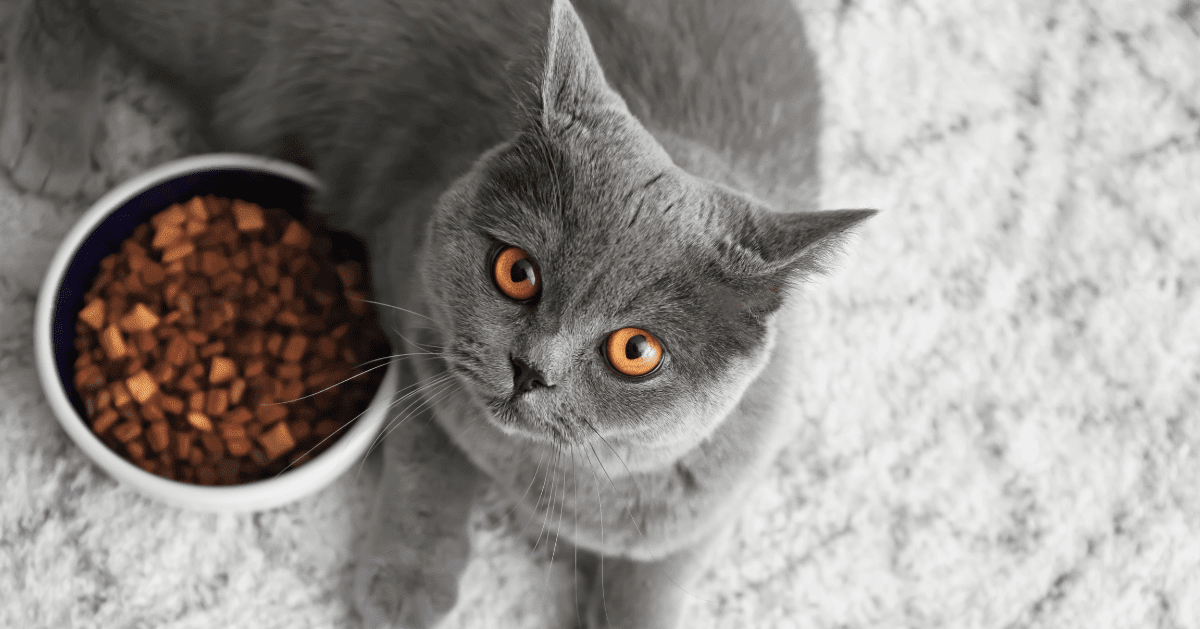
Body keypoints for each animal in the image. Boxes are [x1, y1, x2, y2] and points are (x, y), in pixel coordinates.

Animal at [4, 0, 878, 624]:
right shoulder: (407, 293)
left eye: (637, 351)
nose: (530, 369)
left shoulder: (701, 507)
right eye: (517, 273)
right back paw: (53, 139)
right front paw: (409, 582)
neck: (538, 473)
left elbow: (651, 590)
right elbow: (434, 451)